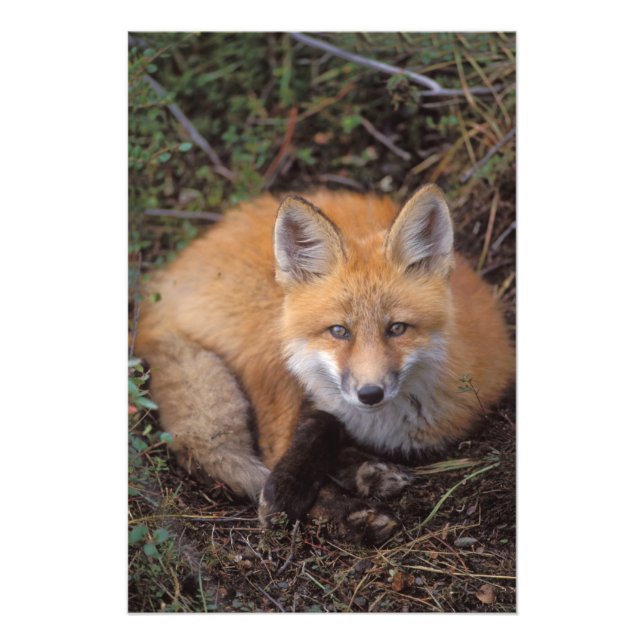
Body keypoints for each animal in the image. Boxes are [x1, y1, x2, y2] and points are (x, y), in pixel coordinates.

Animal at [135, 184, 514, 543]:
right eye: (339, 331)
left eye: (397, 328)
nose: (370, 394)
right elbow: (315, 429)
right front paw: (293, 494)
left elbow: (326, 425)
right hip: (271, 343)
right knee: (269, 449)